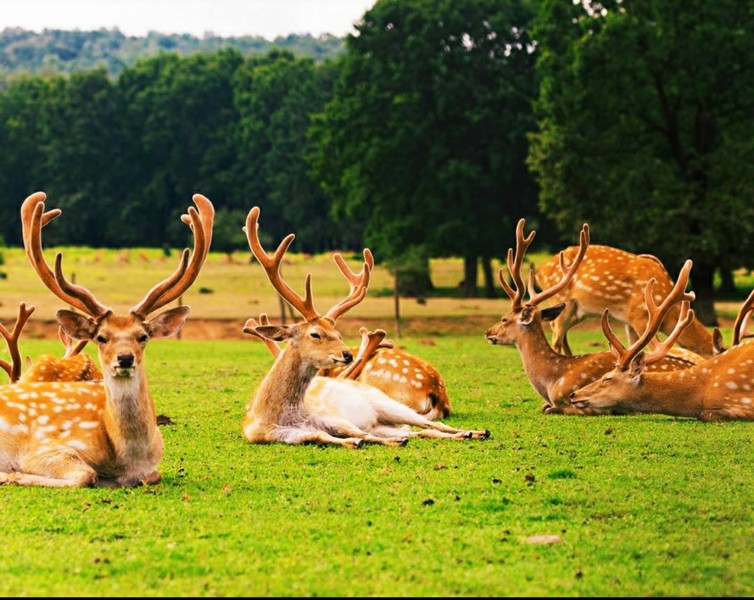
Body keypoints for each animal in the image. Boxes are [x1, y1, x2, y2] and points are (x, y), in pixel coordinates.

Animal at [0, 192, 214, 488]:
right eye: (100, 337)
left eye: (143, 336)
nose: (124, 358)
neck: (125, 459)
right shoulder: (42, 447)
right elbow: (85, 475)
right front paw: (13, 475)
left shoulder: (152, 470)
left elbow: (152, 476)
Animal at [239, 206, 488, 446]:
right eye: (315, 334)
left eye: (338, 333)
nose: (348, 354)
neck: (274, 416)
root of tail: (439, 397)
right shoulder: (286, 434)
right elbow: (324, 436)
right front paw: (366, 441)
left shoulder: (331, 416)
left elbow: (355, 432)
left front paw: (382, 441)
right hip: (384, 416)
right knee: (422, 431)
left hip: (388, 402)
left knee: (431, 424)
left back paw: (476, 432)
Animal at [532, 241, 712, 358]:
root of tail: (540, 270)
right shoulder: (638, 315)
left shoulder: (629, 321)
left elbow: (633, 346)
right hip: (561, 299)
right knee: (556, 336)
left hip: (577, 311)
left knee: (560, 333)